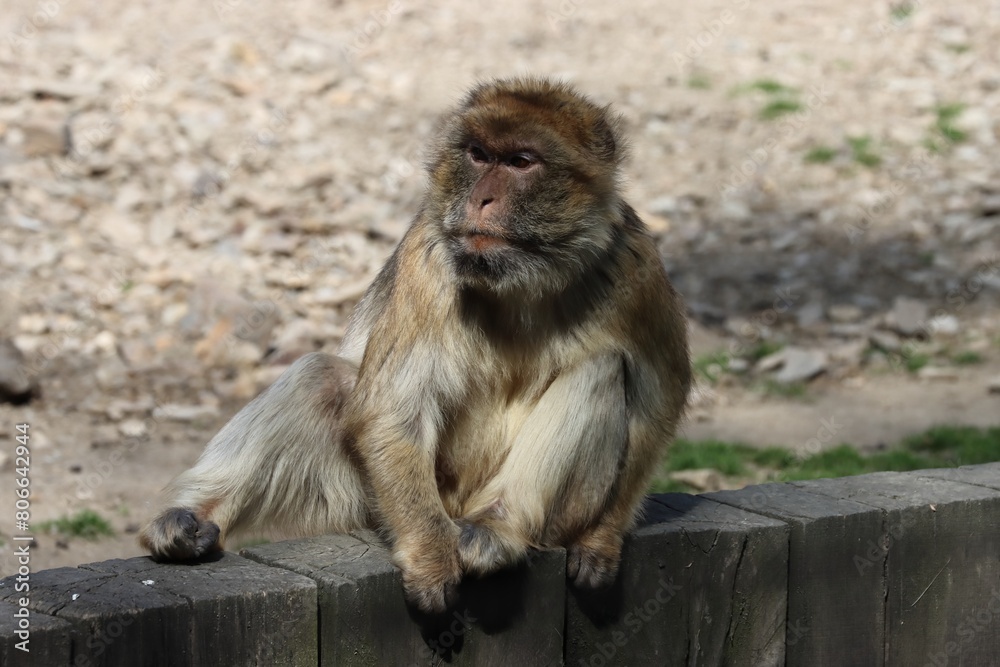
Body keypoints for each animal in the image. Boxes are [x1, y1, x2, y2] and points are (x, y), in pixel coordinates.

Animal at [139, 75, 688, 612]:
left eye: (521, 162)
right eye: (478, 154)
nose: (480, 199)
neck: (523, 277)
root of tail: (458, 507)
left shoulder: (636, 263)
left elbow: (657, 406)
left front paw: (601, 539)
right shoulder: (429, 258)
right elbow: (392, 412)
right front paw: (429, 557)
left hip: (548, 511)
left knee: (599, 369)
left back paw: (496, 528)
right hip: (372, 499)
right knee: (322, 377)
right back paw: (190, 519)